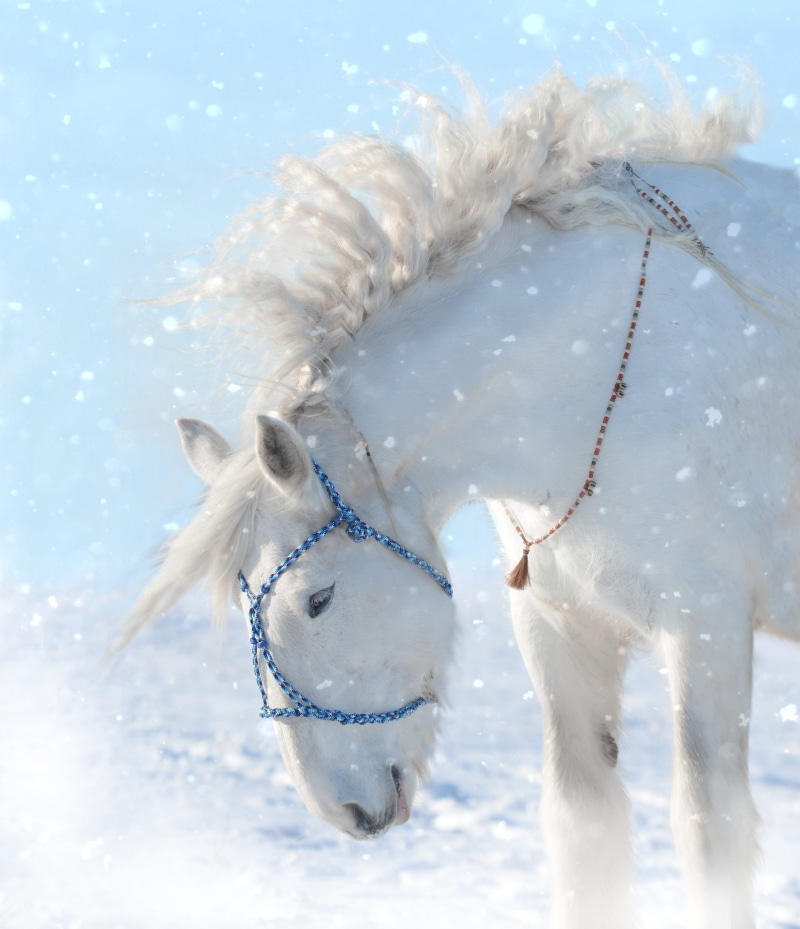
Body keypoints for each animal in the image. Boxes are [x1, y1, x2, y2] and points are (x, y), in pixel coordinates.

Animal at [121, 71, 800, 929]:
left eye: (318, 598)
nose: (346, 812)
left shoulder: (705, 624)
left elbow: (710, 827)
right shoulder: (559, 625)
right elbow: (584, 825)